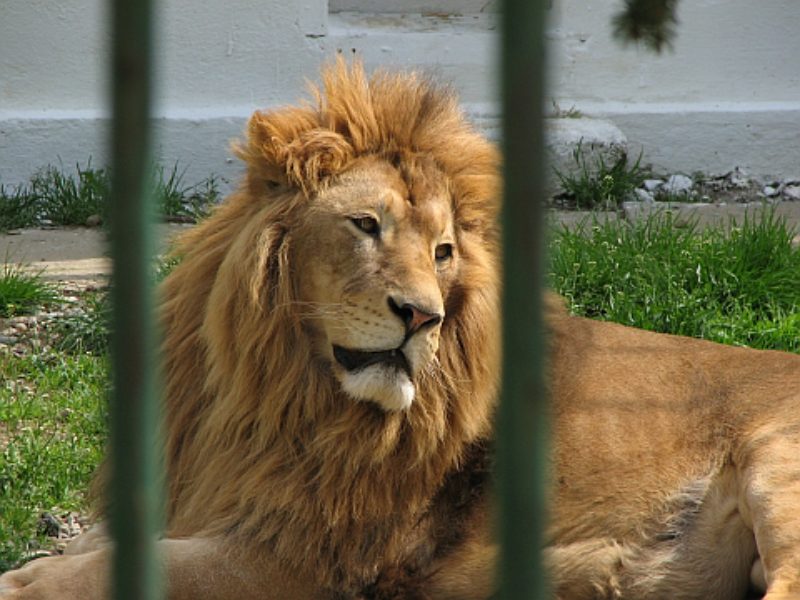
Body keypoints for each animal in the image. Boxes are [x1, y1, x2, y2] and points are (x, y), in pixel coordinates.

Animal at [1, 59, 800, 600]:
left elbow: (132, 566)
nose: (424, 316)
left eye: (442, 253)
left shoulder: (306, 556)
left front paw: (26, 579)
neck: (272, 391)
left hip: (778, 467)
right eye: (365, 225)